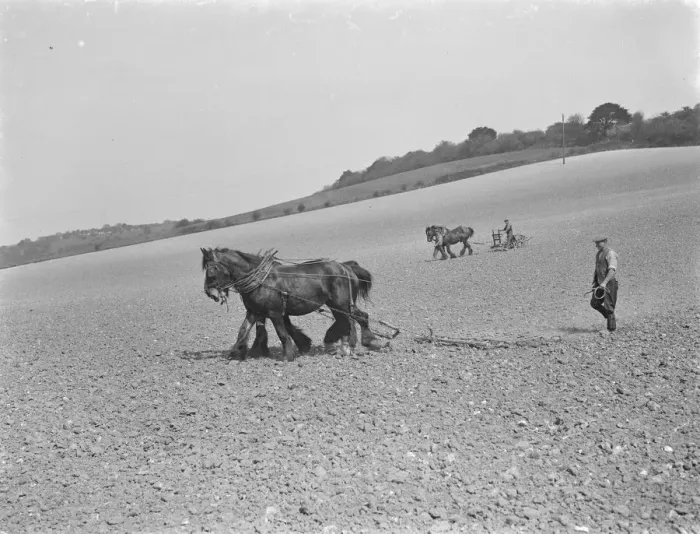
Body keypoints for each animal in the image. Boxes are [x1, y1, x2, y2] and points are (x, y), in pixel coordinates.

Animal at [200, 248, 386, 361]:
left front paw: (288, 355)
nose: (209, 292)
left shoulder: (274, 313)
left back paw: (363, 342)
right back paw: (347, 345)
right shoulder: (254, 312)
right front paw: (235, 353)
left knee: (355, 318)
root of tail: (345, 266)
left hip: (341, 303)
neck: (260, 280)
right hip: (338, 305)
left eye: (211, 269)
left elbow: (282, 333)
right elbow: (242, 331)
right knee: (350, 320)